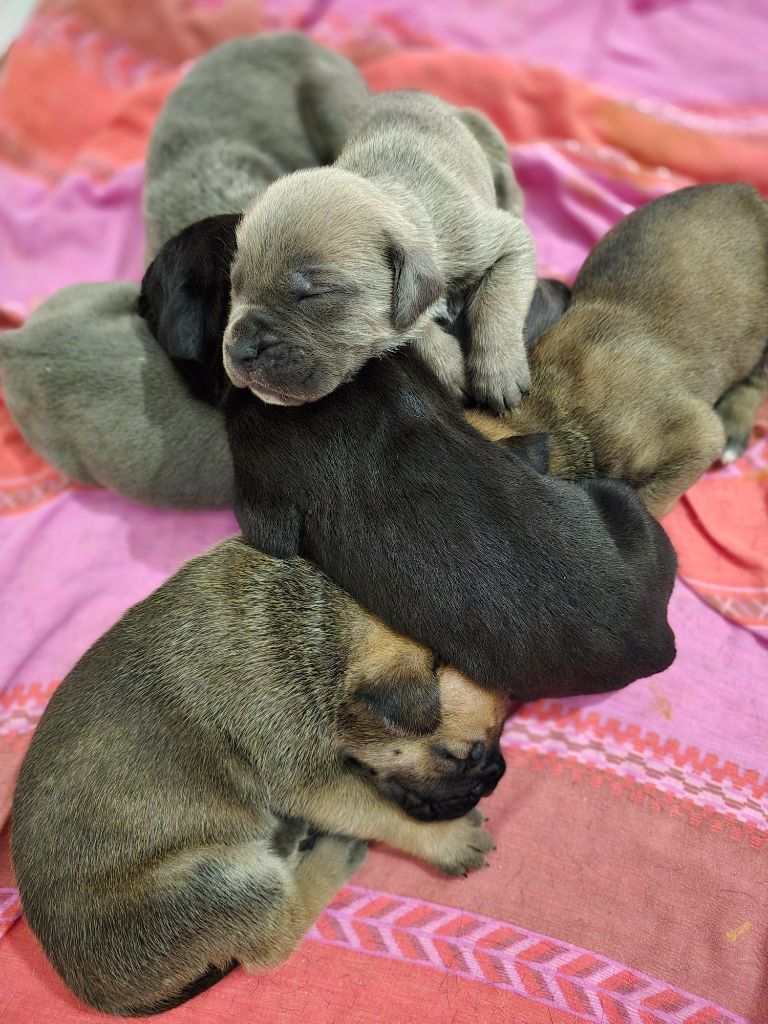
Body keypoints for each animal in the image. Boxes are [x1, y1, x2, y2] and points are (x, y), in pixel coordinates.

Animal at [13, 540, 505, 1019]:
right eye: (460, 756)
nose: (497, 775)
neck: (321, 628)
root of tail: (104, 998)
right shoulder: (314, 784)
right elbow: (385, 813)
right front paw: (449, 837)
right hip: (219, 882)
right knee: (277, 938)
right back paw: (332, 855)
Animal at [222, 91, 536, 411]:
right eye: (234, 285)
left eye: (313, 295)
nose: (239, 350)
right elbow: (412, 328)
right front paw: (449, 367)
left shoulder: (504, 241)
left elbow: (497, 304)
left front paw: (499, 372)